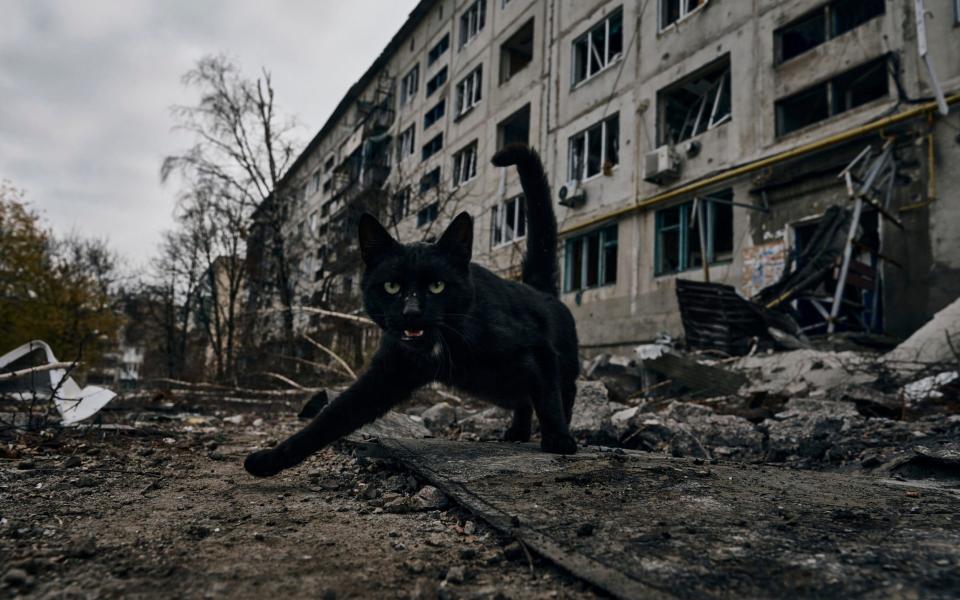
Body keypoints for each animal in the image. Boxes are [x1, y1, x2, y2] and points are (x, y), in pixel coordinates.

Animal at [246, 143, 576, 476]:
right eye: (392, 286)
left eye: (437, 286)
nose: (412, 311)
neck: (444, 343)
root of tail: (539, 290)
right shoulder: (387, 373)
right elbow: (331, 417)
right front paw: (269, 459)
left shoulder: (539, 350)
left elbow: (550, 399)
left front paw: (559, 440)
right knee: (523, 400)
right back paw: (517, 433)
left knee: (559, 392)